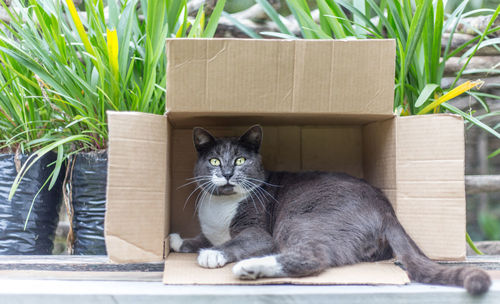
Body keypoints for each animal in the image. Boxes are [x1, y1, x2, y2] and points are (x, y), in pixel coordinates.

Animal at [169, 124, 492, 294]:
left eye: (239, 160)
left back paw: (250, 267)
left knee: (313, 257)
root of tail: (387, 210)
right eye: (213, 160)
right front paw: (178, 240)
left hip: (298, 219)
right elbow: (200, 238)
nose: (225, 173)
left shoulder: (258, 232)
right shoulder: (210, 229)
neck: (220, 204)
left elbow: (234, 242)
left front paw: (211, 254)